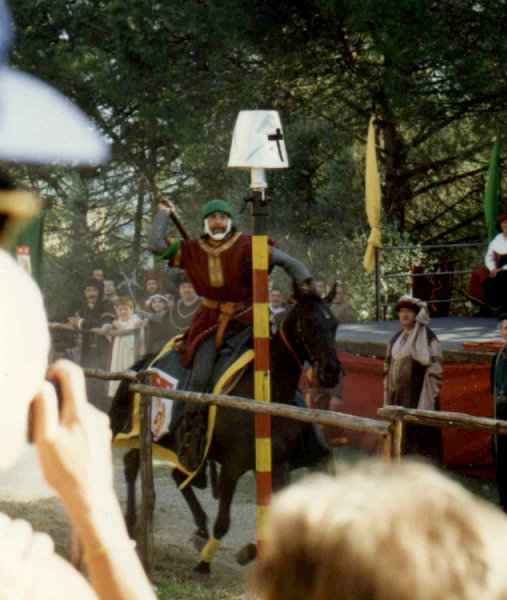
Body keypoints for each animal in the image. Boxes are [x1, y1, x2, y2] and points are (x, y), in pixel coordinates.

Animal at [110, 285, 341, 573]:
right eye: (310, 322)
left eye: (334, 324)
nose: (332, 371)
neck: (265, 393)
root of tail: (143, 364)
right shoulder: (233, 466)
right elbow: (224, 522)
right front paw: (204, 563)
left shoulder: (278, 465)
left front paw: (252, 549)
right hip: (147, 434)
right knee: (132, 466)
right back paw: (131, 522)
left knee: (172, 474)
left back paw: (198, 526)